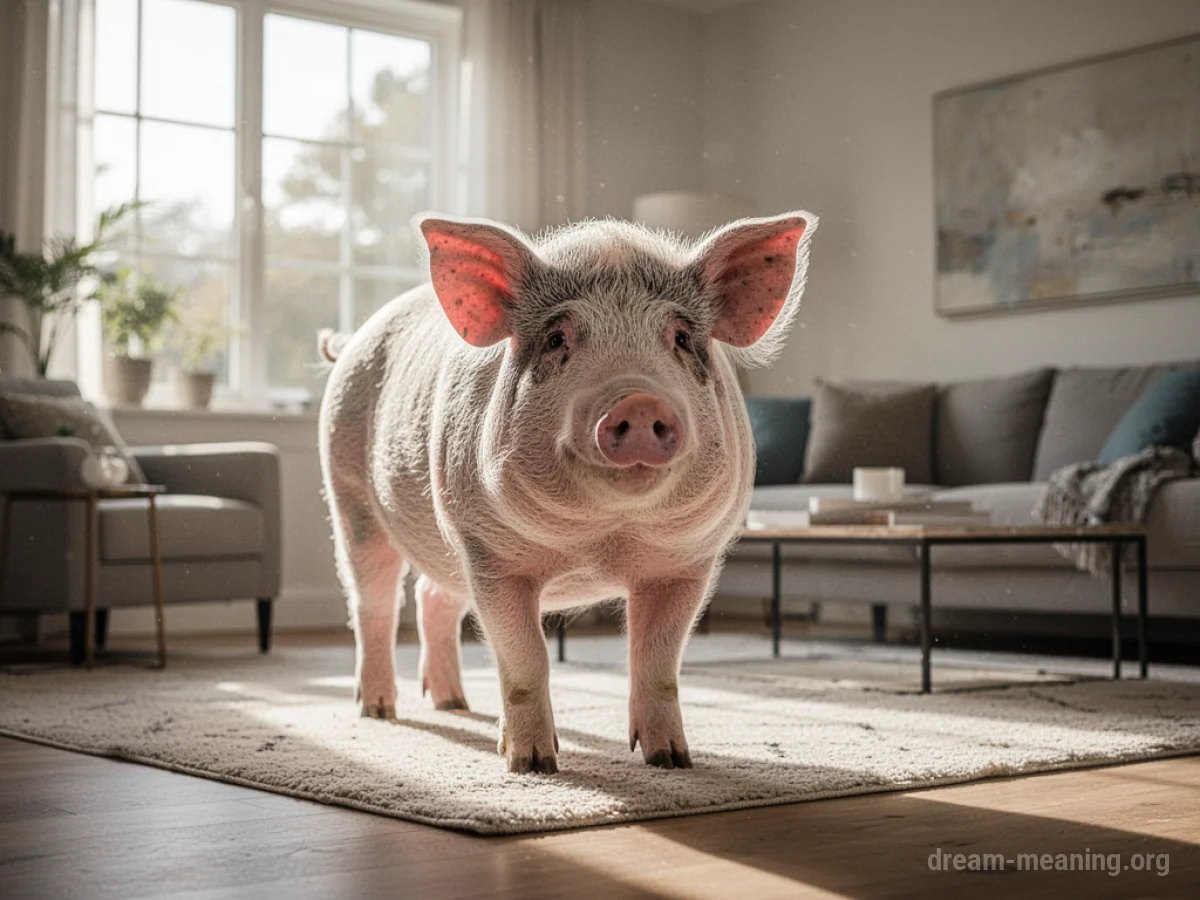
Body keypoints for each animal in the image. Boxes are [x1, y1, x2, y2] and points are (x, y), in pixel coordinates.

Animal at [318, 210, 817, 774]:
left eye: (682, 337)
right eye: (557, 338)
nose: (639, 402)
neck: (603, 540)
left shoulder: (687, 561)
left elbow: (658, 661)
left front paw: (671, 761)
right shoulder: (488, 552)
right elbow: (526, 659)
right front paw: (533, 766)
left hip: (441, 543)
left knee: (433, 596)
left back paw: (453, 703)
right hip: (350, 496)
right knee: (374, 604)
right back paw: (379, 711)